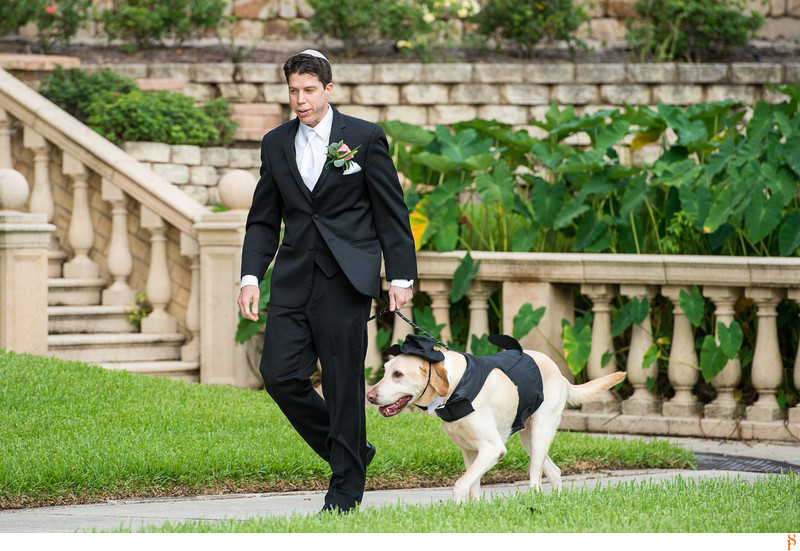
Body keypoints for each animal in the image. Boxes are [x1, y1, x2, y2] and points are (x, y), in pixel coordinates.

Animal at [368, 334, 624, 502]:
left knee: (536, 478)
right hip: (528, 438)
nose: (369, 396)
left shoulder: (492, 449)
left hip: (540, 432)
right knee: (554, 471)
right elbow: (472, 487)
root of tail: (561, 375)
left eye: (398, 374)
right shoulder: (470, 452)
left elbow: (460, 484)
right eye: (385, 370)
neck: (456, 388)